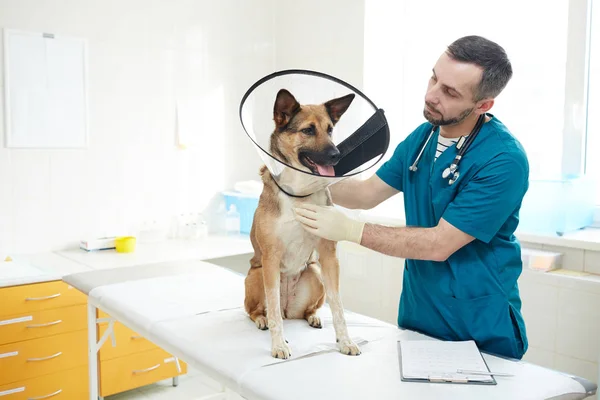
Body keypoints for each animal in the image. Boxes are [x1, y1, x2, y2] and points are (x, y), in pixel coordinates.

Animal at [241, 89, 358, 358]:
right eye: (308, 130)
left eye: (330, 130)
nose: (337, 155)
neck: (300, 192)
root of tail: (289, 310)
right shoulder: (271, 257)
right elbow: (273, 307)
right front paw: (278, 345)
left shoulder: (328, 256)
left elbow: (338, 305)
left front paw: (345, 341)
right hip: (257, 275)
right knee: (259, 311)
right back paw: (262, 319)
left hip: (314, 272)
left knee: (304, 310)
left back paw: (313, 316)